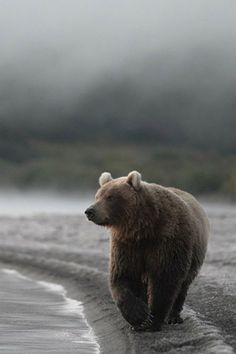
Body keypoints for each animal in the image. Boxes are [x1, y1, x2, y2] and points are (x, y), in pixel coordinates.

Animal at [84, 171, 208, 332]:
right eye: (97, 196)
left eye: (110, 197)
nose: (89, 211)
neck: (142, 229)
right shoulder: (127, 246)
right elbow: (125, 276)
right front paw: (140, 317)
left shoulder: (167, 240)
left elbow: (165, 278)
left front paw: (153, 320)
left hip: (193, 255)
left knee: (183, 285)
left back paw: (174, 317)